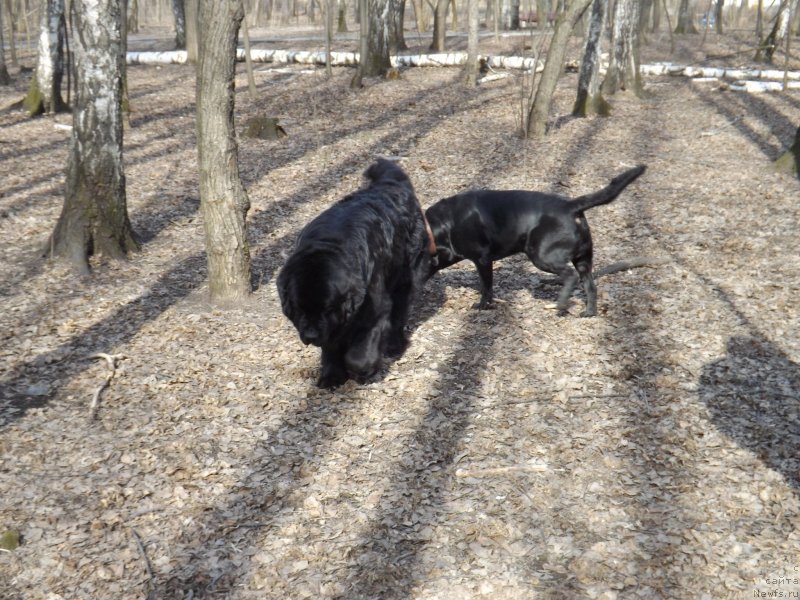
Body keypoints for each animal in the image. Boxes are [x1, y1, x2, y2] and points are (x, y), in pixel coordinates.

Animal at [278, 158, 434, 390]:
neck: (328, 243)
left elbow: (359, 353)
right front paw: (331, 377)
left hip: (406, 275)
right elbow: (331, 346)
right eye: (299, 309)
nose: (311, 335)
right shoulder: (332, 325)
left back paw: (395, 345)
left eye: (328, 308)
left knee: (400, 310)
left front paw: (363, 371)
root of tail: (390, 183)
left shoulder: (374, 310)